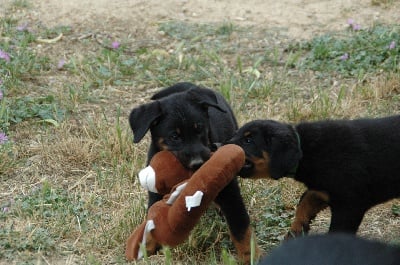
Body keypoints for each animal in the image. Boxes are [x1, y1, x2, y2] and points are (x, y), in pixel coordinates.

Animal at [129, 82, 260, 262]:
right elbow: (152, 217)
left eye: (199, 129)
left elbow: (241, 228)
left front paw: (251, 256)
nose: (198, 163)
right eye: (174, 136)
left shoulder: (230, 191)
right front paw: (148, 245)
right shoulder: (155, 192)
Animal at [228, 115, 400, 235]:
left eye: (248, 140)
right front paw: (296, 232)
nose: (221, 145)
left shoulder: (350, 205)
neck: (305, 149)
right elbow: (304, 204)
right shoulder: (321, 191)